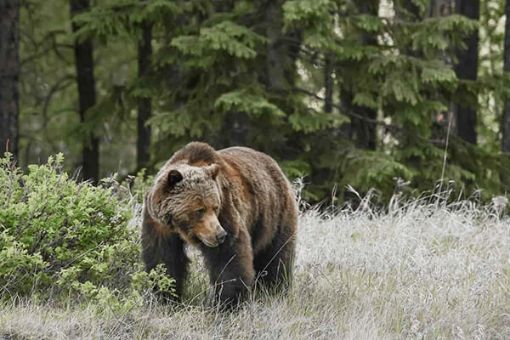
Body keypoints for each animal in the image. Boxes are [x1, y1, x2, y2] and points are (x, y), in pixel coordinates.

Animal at [140, 142, 298, 306]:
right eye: (200, 210)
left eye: (215, 207)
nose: (219, 234)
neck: (180, 227)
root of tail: (275, 165)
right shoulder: (159, 225)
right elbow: (164, 259)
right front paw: (164, 297)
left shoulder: (226, 210)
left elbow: (228, 258)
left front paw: (228, 302)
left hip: (274, 216)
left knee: (276, 257)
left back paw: (274, 290)